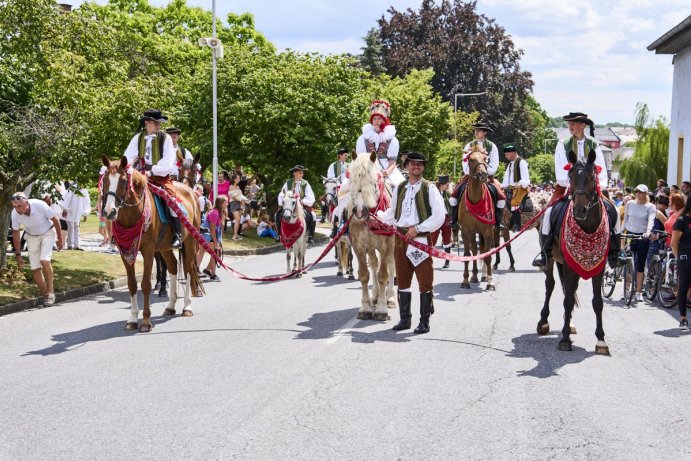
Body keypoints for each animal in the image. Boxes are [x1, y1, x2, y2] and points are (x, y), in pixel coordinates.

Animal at [100, 155, 203, 330]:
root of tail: (190, 192)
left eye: (123, 180)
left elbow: (146, 284)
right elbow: (132, 284)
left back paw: (187, 307)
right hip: (165, 247)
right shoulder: (126, 252)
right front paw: (132, 319)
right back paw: (170, 306)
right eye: (106, 180)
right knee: (173, 266)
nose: (109, 211)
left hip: (190, 242)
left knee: (188, 269)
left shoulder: (148, 251)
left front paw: (146, 321)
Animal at [348, 151, 398, 320]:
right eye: (352, 180)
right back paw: (375, 296)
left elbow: (384, 275)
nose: (359, 211)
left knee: (391, 265)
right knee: (374, 264)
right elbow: (364, 275)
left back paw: (390, 298)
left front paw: (382, 309)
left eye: (373, 181)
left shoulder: (386, 245)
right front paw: (365, 308)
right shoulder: (358, 246)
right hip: (370, 247)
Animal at [460, 149, 498, 290]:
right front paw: (465, 281)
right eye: (471, 159)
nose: (483, 174)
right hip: (473, 233)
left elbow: (487, 256)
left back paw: (484, 276)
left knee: (482, 251)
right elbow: (467, 255)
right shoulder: (466, 231)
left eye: (485, 158)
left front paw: (490, 282)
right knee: (476, 251)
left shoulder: (487, 232)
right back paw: (475, 276)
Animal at [536, 149, 612, 354]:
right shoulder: (569, 267)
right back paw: (543, 322)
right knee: (551, 285)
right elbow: (568, 300)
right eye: (570, 176)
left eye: (592, 176)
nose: (579, 210)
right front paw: (564, 339)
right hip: (552, 260)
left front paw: (601, 340)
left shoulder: (599, 268)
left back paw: (569, 324)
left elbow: (597, 302)